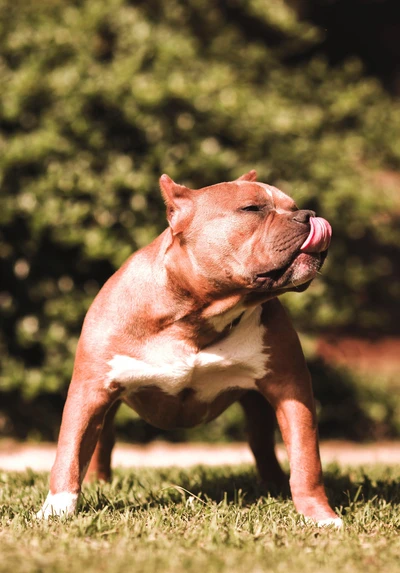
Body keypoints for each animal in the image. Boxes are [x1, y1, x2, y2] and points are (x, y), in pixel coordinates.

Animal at [37, 171, 342, 528]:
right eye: (252, 208)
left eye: (293, 207)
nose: (308, 215)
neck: (197, 315)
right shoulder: (90, 390)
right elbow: (69, 453)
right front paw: (56, 510)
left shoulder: (291, 388)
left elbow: (307, 460)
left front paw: (319, 516)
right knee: (101, 445)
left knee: (262, 444)